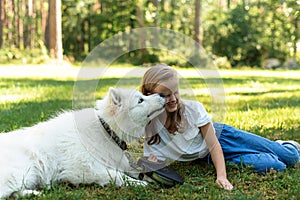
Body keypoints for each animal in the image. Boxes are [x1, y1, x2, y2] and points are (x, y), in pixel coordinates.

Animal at [0, 88, 166, 198]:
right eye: (140, 100)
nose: (163, 94)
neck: (106, 129)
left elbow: (135, 171)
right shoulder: (83, 169)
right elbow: (117, 175)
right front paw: (139, 184)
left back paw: (33, 192)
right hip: (22, 172)